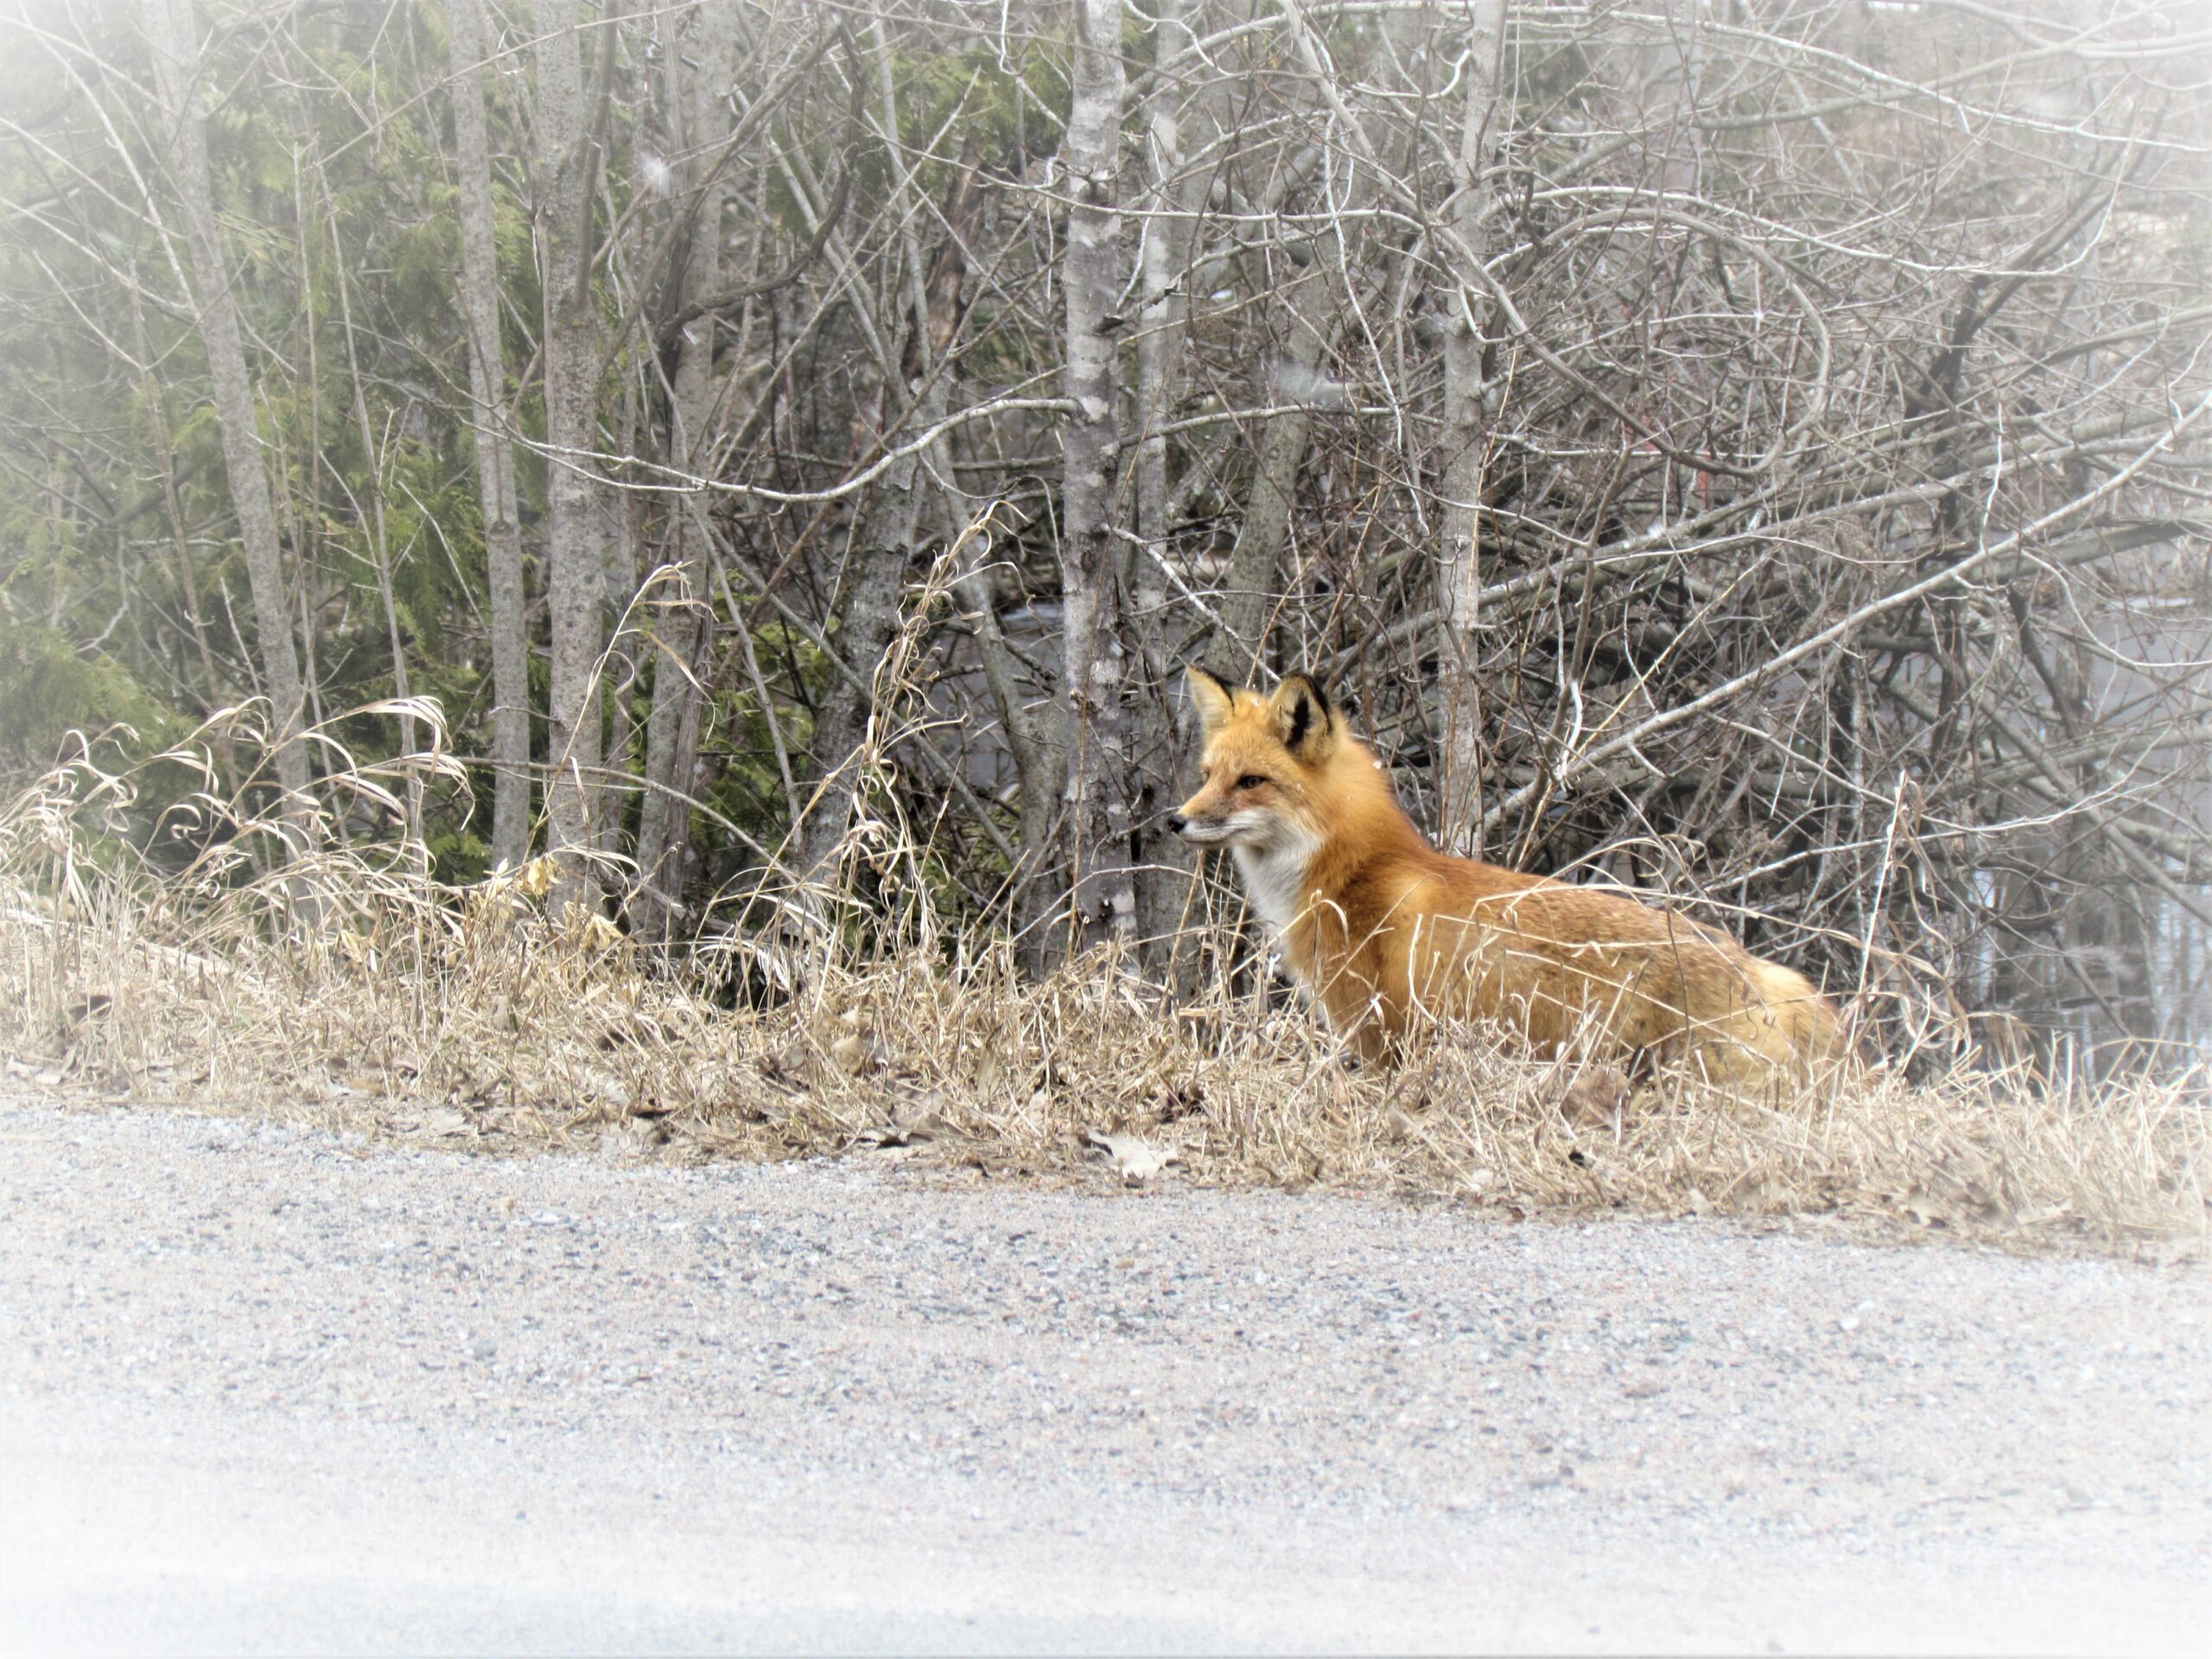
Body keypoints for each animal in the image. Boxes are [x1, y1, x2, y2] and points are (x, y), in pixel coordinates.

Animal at [1176, 668, 1849, 1084]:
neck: (1351, 870)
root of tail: (1750, 966)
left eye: (1251, 781)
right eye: (1207, 775)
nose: (1175, 821)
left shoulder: (1382, 1034)